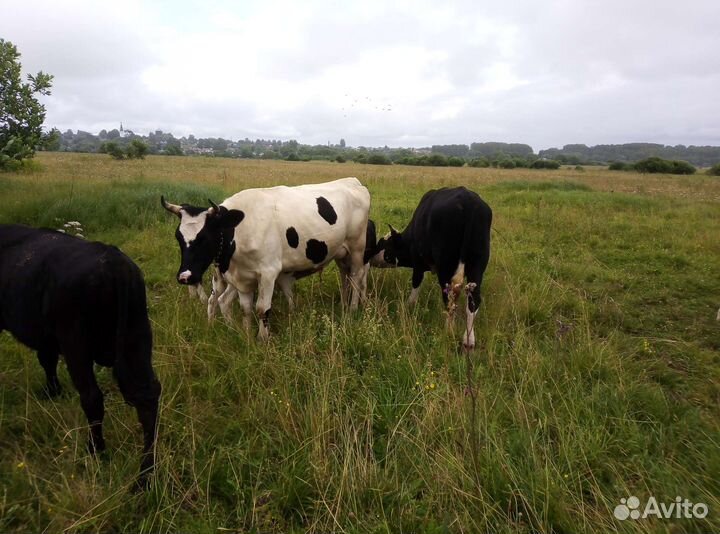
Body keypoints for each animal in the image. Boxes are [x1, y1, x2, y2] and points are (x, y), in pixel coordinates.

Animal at [0, 224, 161, 487]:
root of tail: (113, 261)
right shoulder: (48, 337)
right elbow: (47, 360)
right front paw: (52, 391)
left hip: (76, 343)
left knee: (92, 398)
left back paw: (96, 449)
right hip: (136, 337)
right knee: (147, 399)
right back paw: (145, 474)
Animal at [161, 177, 371, 339]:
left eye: (204, 237)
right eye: (178, 237)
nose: (185, 277)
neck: (239, 231)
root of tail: (352, 181)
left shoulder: (269, 273)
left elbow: (262, 308)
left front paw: (263, 339)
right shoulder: (241, 277)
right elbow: (245, 308)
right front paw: (246, 336)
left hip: (357, 249)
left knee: (357, 277)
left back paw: (352, 309)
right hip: (341, 252)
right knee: (346, 275)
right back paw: (343, 303)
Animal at [371, 187, 492, 350]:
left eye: (383, 244)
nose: (370, 257)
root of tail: (468, 201)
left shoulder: (418, 263)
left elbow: (416, 282)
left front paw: (409, 304)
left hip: (446, 266)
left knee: (449, 299)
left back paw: (448, 331)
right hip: (477, 264)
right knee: (473, 301)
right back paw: (468, 340)